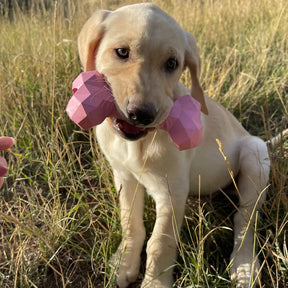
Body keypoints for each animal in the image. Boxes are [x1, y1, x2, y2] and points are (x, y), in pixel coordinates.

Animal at [76, 2, 270, 288]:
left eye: (172, 64)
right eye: (122, 52)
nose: (142, 114)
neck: (139, 144)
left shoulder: (171, 192)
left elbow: (160, 243)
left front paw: (155, 282)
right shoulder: (124, 177)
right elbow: (130, 223)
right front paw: (124, 263)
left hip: (256, 153)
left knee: (245, 219)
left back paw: (245, 265)